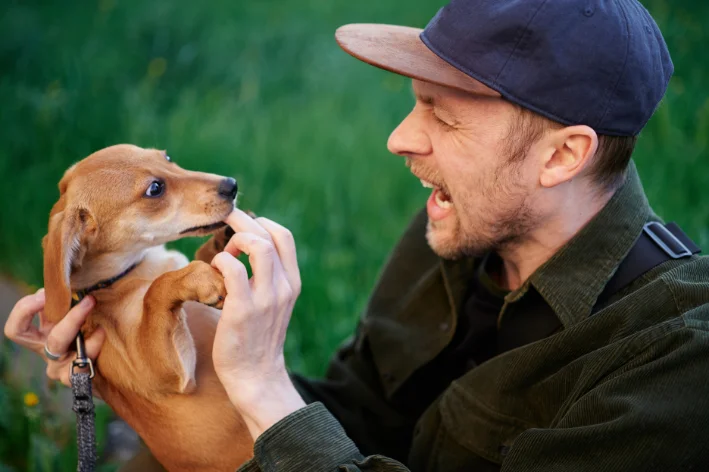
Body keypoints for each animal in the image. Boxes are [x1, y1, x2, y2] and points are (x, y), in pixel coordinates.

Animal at [43, 146, 252, 470]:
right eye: (155, 189)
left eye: (166, 158)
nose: (231, 185)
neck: (127, 274)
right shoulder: (170, 375)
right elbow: (157, 291)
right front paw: (200, 278)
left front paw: (222, 238)